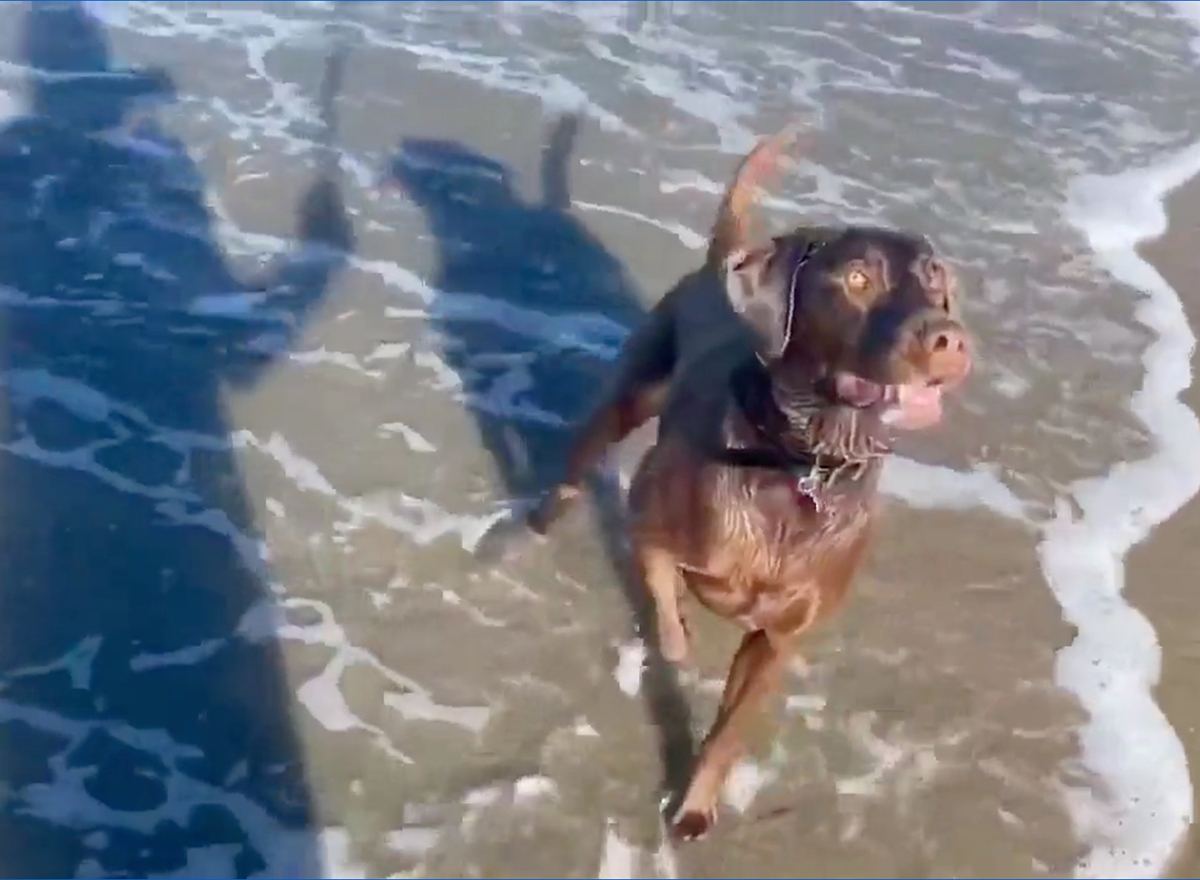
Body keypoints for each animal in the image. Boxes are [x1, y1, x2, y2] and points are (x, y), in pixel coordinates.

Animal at [520, 128, 969, 835]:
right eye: (858, 278)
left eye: (935, 280)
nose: (948, 339)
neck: (802, 461)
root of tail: (721, 261)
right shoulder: (651, 518)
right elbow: (663, 591)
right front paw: (676, 644)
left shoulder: (778, 639)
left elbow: (731, 730)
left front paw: (695, 805)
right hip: (631, 397)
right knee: (574, 469)